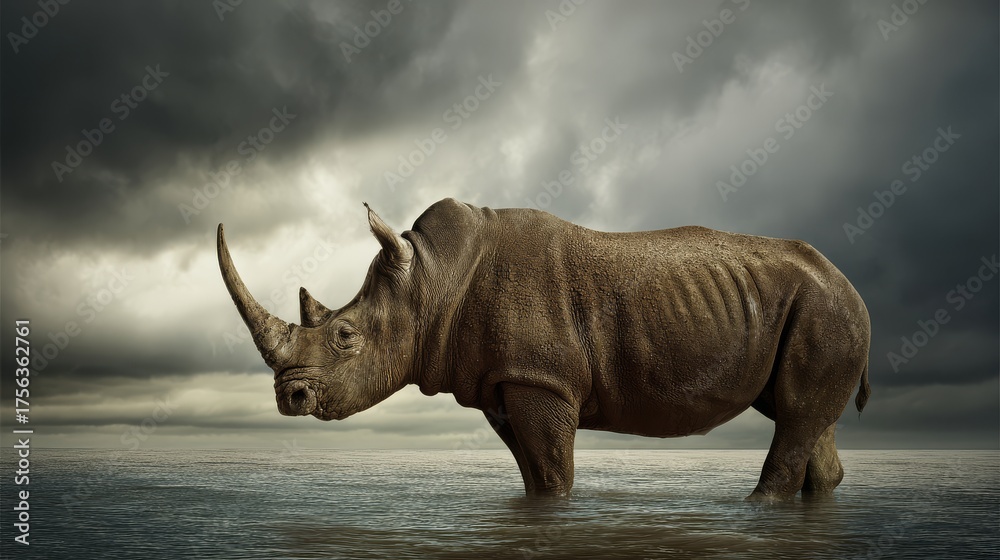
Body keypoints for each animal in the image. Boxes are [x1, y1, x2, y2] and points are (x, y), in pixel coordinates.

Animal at [218, 198, 871, 500]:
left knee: (795, 418)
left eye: (345, 336)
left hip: (826, 309)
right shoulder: (503, 380)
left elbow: (555, 475)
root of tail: (848, 281)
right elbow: (533, 476)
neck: (430, 280)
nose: (289, 397)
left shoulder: (542, 380)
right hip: (809, 307)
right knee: (800, 415)